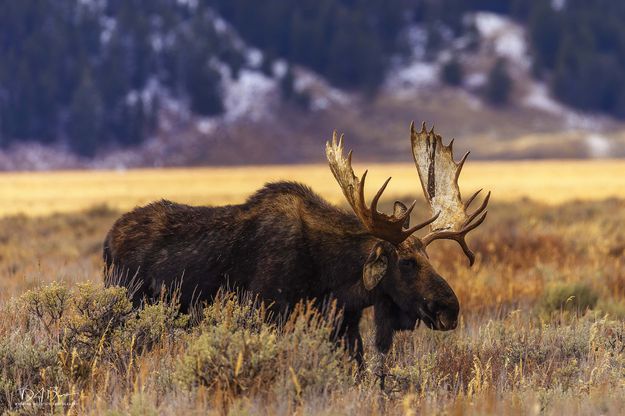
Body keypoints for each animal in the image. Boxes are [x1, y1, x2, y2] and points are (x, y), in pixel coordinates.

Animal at [105, 122, 490, 368]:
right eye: (406, 262)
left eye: (429, 258)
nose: (449, 308)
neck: (333, 278)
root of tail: (108, 241)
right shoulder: (268, 310)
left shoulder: (345, 326)